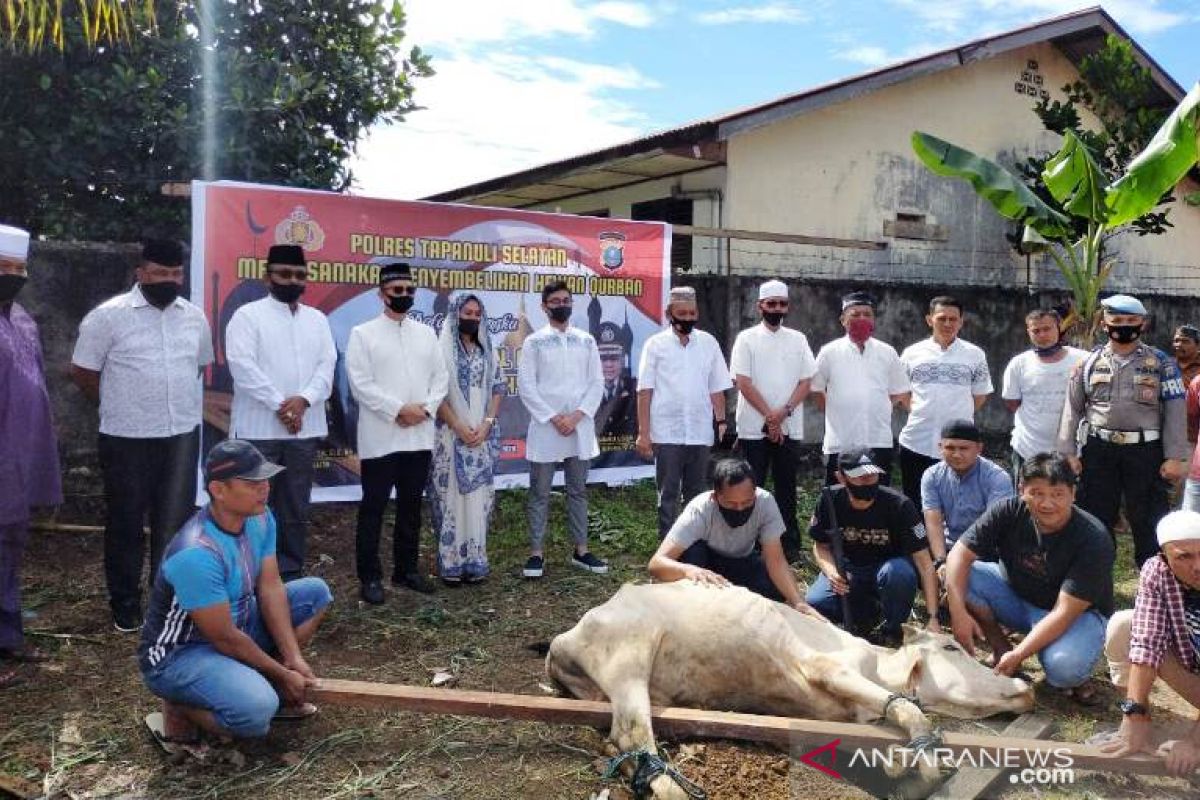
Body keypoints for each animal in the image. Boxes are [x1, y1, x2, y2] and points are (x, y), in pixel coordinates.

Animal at [549, 582, 1036, 800]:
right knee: (631, 733)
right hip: (630, 653)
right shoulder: (827, 667)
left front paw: (901, 765)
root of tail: (566, 636)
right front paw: (927, 760)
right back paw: (673, 789)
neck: (878, 664)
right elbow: (913, 711)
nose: (1023, 683)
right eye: (952, 645)